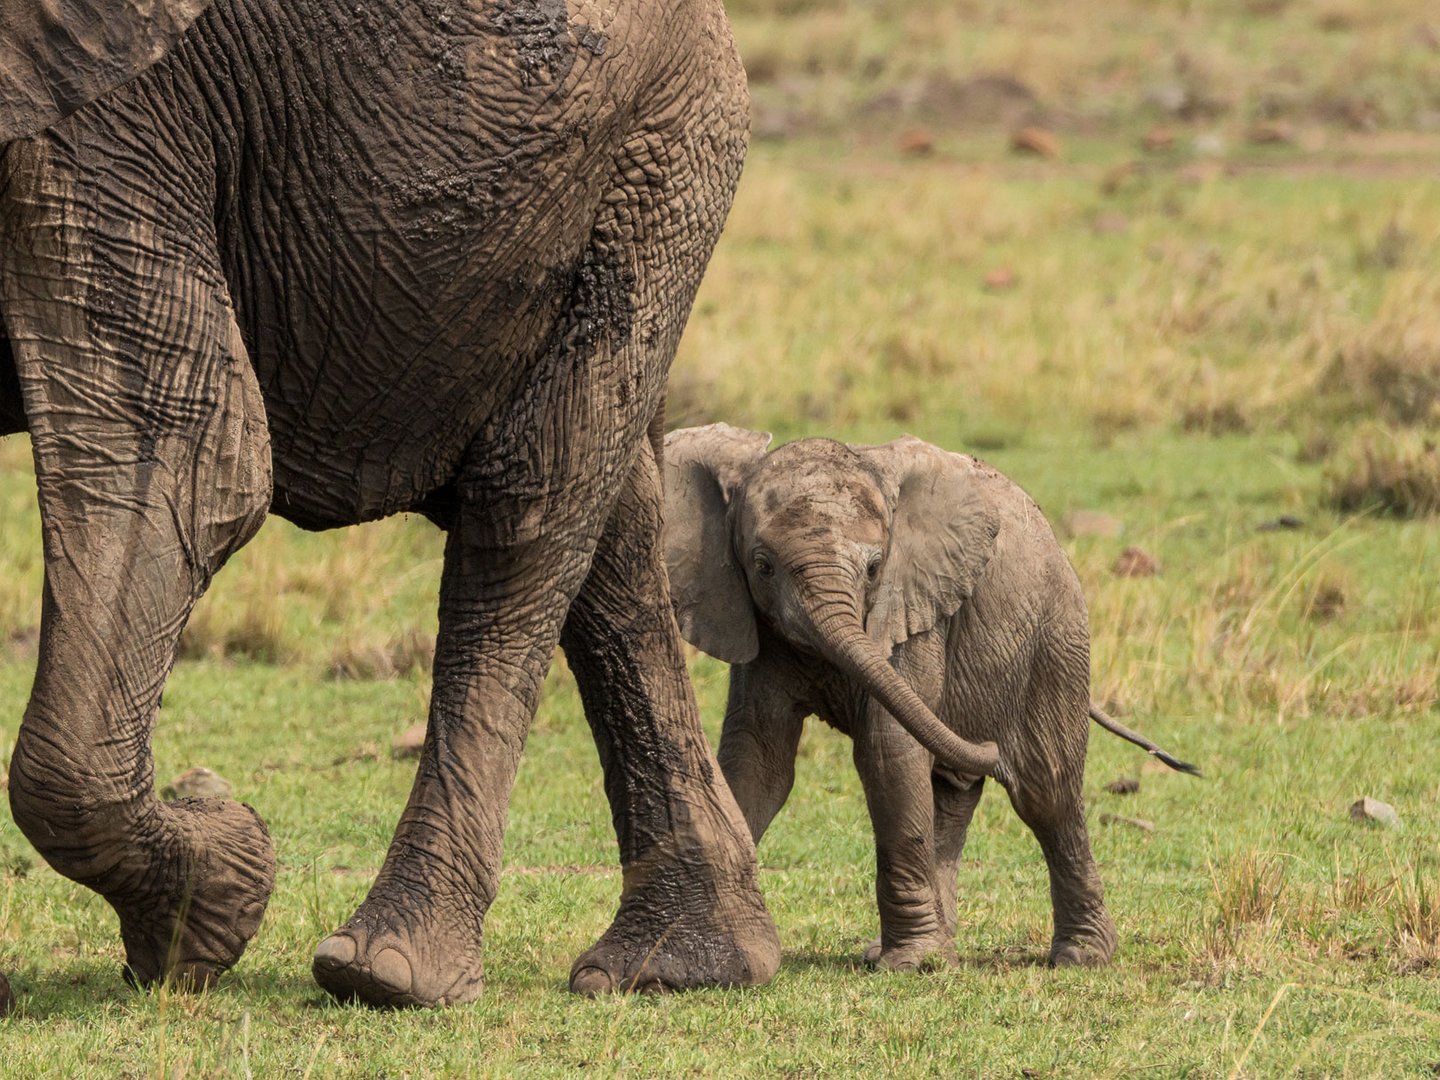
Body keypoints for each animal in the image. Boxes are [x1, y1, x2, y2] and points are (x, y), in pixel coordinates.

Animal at [0, 0, 783, 1013]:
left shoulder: (106, 118)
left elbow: (184, 454)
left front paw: (218, 893)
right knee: (613, 525)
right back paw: (680, 964)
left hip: (653, 146)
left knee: (528, 498)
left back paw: (387, 973)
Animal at [662, 426, 1192, 979]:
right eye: (762, 567)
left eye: (875, 569)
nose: (990, 744)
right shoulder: (752, 623)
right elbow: (758, 761)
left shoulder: (913, 612)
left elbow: (888, 748)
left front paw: (910, 964)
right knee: (951, 791)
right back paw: (933, 949)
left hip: (1057, 638)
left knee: (1046, 791)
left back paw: (1080, 955)